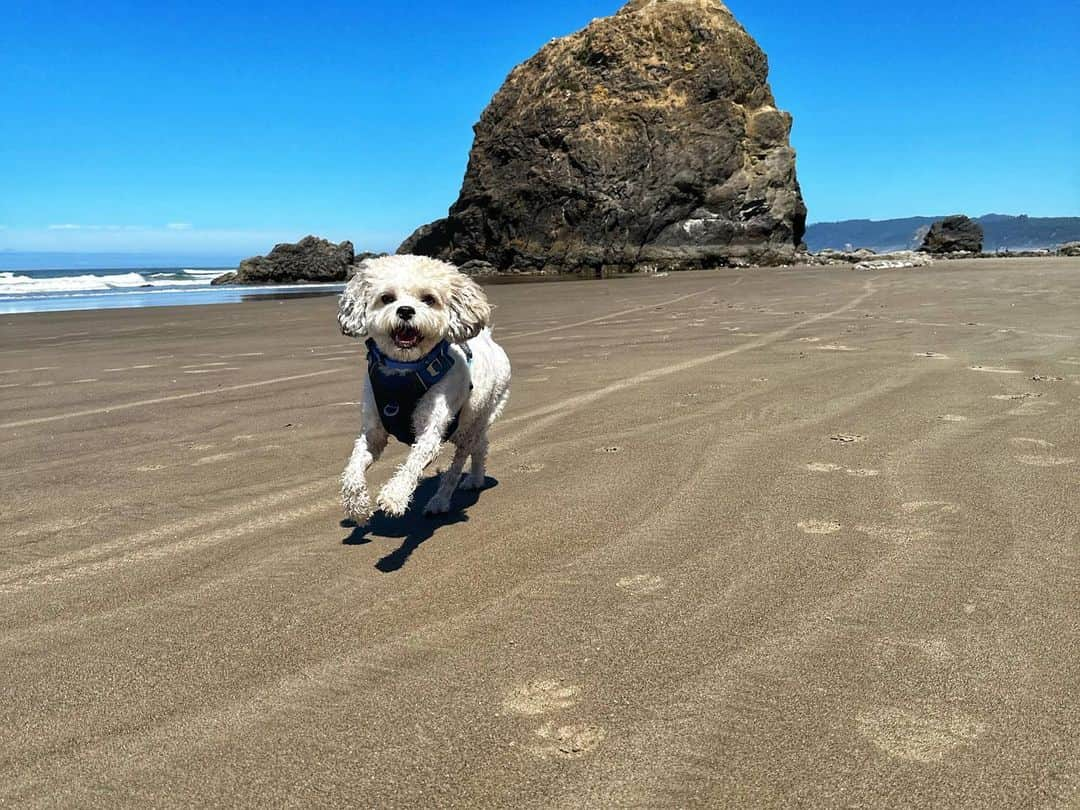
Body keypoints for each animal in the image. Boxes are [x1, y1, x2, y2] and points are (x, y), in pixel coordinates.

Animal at [336, 257, 509, 522]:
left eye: (428, 299)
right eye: (387, 298)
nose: (406, 310)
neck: (404, 371)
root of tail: (488, 339)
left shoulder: (430, 432)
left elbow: (413, 463)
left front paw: (395, 496)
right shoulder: (373, 434)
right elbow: (354, 467)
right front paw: (357, 505)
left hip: (478, 419)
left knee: (458, 463)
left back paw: (440, 500)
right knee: (480, 447)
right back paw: (476, 478)